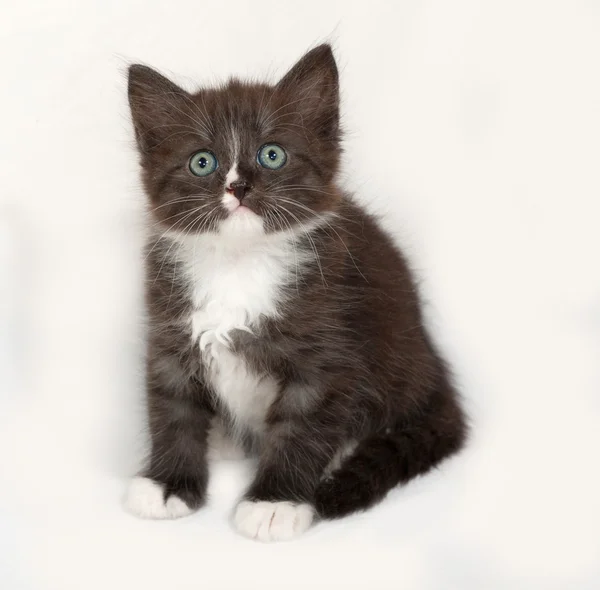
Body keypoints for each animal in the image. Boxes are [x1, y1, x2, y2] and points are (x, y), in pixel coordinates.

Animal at [124, 44, 466, 544]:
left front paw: (274, 502)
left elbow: (302, 428)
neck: (239, 263)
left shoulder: (328, 347)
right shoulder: (169, 330)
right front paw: (168, 485)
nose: (238, 187)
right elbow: (173, 409)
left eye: (272, 155)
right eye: (202, 162)